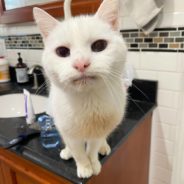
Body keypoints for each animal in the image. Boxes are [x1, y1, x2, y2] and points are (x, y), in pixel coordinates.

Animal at [33, 0, 126, 178]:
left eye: (99, 45)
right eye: (62, 51)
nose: (81, 63)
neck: (87, 100)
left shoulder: (97, 132)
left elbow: (91, 149)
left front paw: (94, 164)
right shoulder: (69, 133)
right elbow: (78, 152)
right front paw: (84, 167)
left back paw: (103, 146)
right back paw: (67, 151)